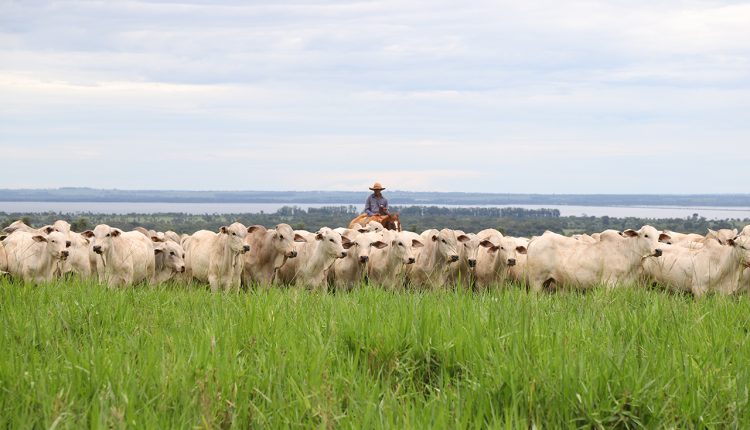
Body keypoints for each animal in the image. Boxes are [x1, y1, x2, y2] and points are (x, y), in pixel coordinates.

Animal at [528, 225, 664, 292]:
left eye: (658, 237)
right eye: (646, 235)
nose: (658, 250)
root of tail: (536, 240)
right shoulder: (609, 284)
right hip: (536, 281)